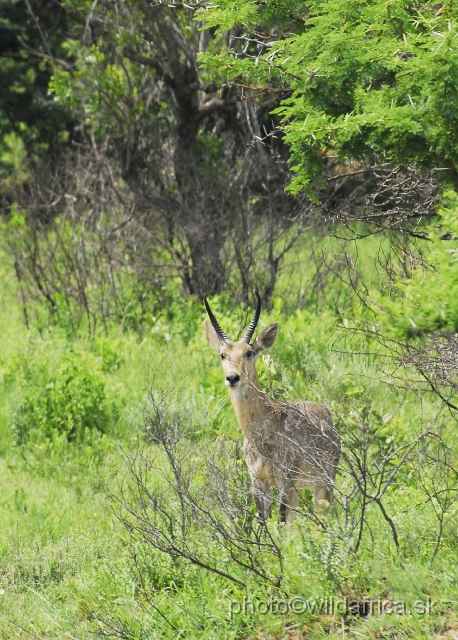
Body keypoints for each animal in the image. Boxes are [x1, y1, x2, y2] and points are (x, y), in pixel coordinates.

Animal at [204, 292, 340, 524]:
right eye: (222, 354)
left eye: (249, 352)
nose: (232, 378)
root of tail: (326, 413)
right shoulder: (258, 482)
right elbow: (263, 522)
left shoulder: (286, 480)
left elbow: (281, 520)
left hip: (324, 483)